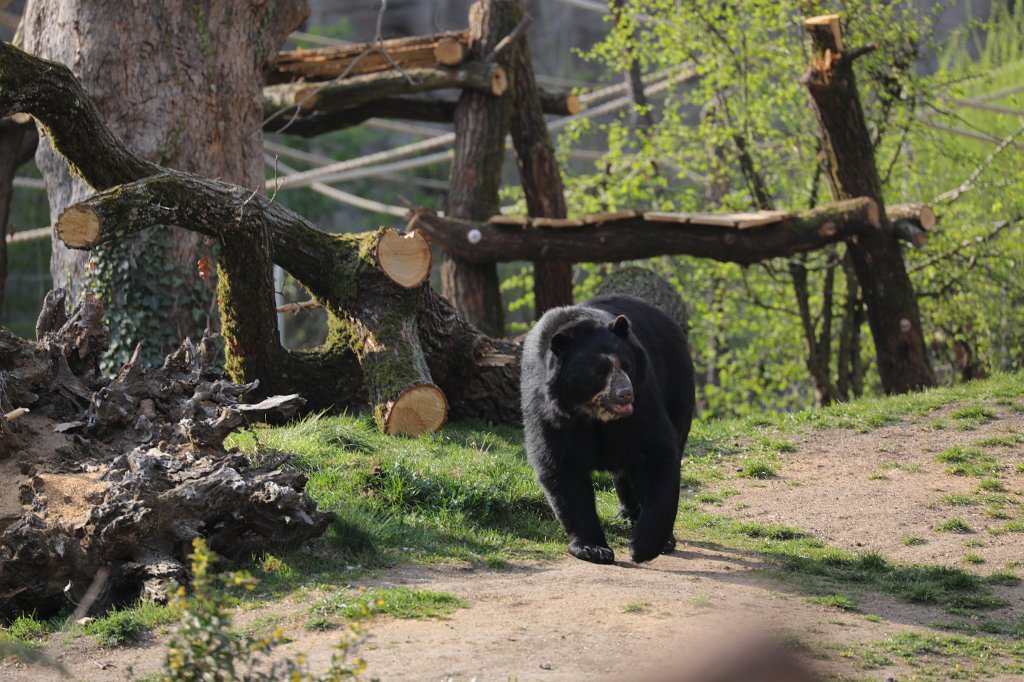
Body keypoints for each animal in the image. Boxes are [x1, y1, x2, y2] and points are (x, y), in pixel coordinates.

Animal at [520, 294, 695, 564]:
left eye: (626, 365)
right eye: (599, 371)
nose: (625, 393)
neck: (593, 414)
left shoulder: (643, 398)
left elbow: (655, 451)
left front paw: (643, 545)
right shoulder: (549, 412)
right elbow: (562, 468)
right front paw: (593, 549)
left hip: (676, 387)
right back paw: (627, 514)